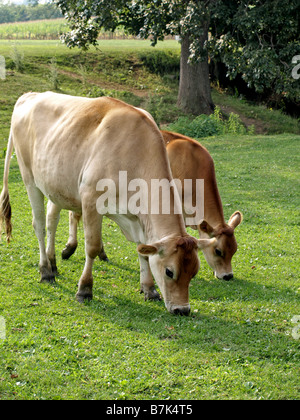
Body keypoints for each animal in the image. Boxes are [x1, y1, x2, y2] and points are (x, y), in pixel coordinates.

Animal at [0, 92, 216, 316]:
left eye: (194, 272)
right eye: (169, 271)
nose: (182, 309)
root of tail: (30, 95)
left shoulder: (136, 216)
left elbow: (142, 251)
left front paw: (149, 289)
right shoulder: (90, 200)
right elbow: (92, 247)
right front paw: (85, 289)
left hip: (55, 185)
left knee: (52, 222)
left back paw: (53, 264)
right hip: (29, 179)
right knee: (40, 225)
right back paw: (45, 271)